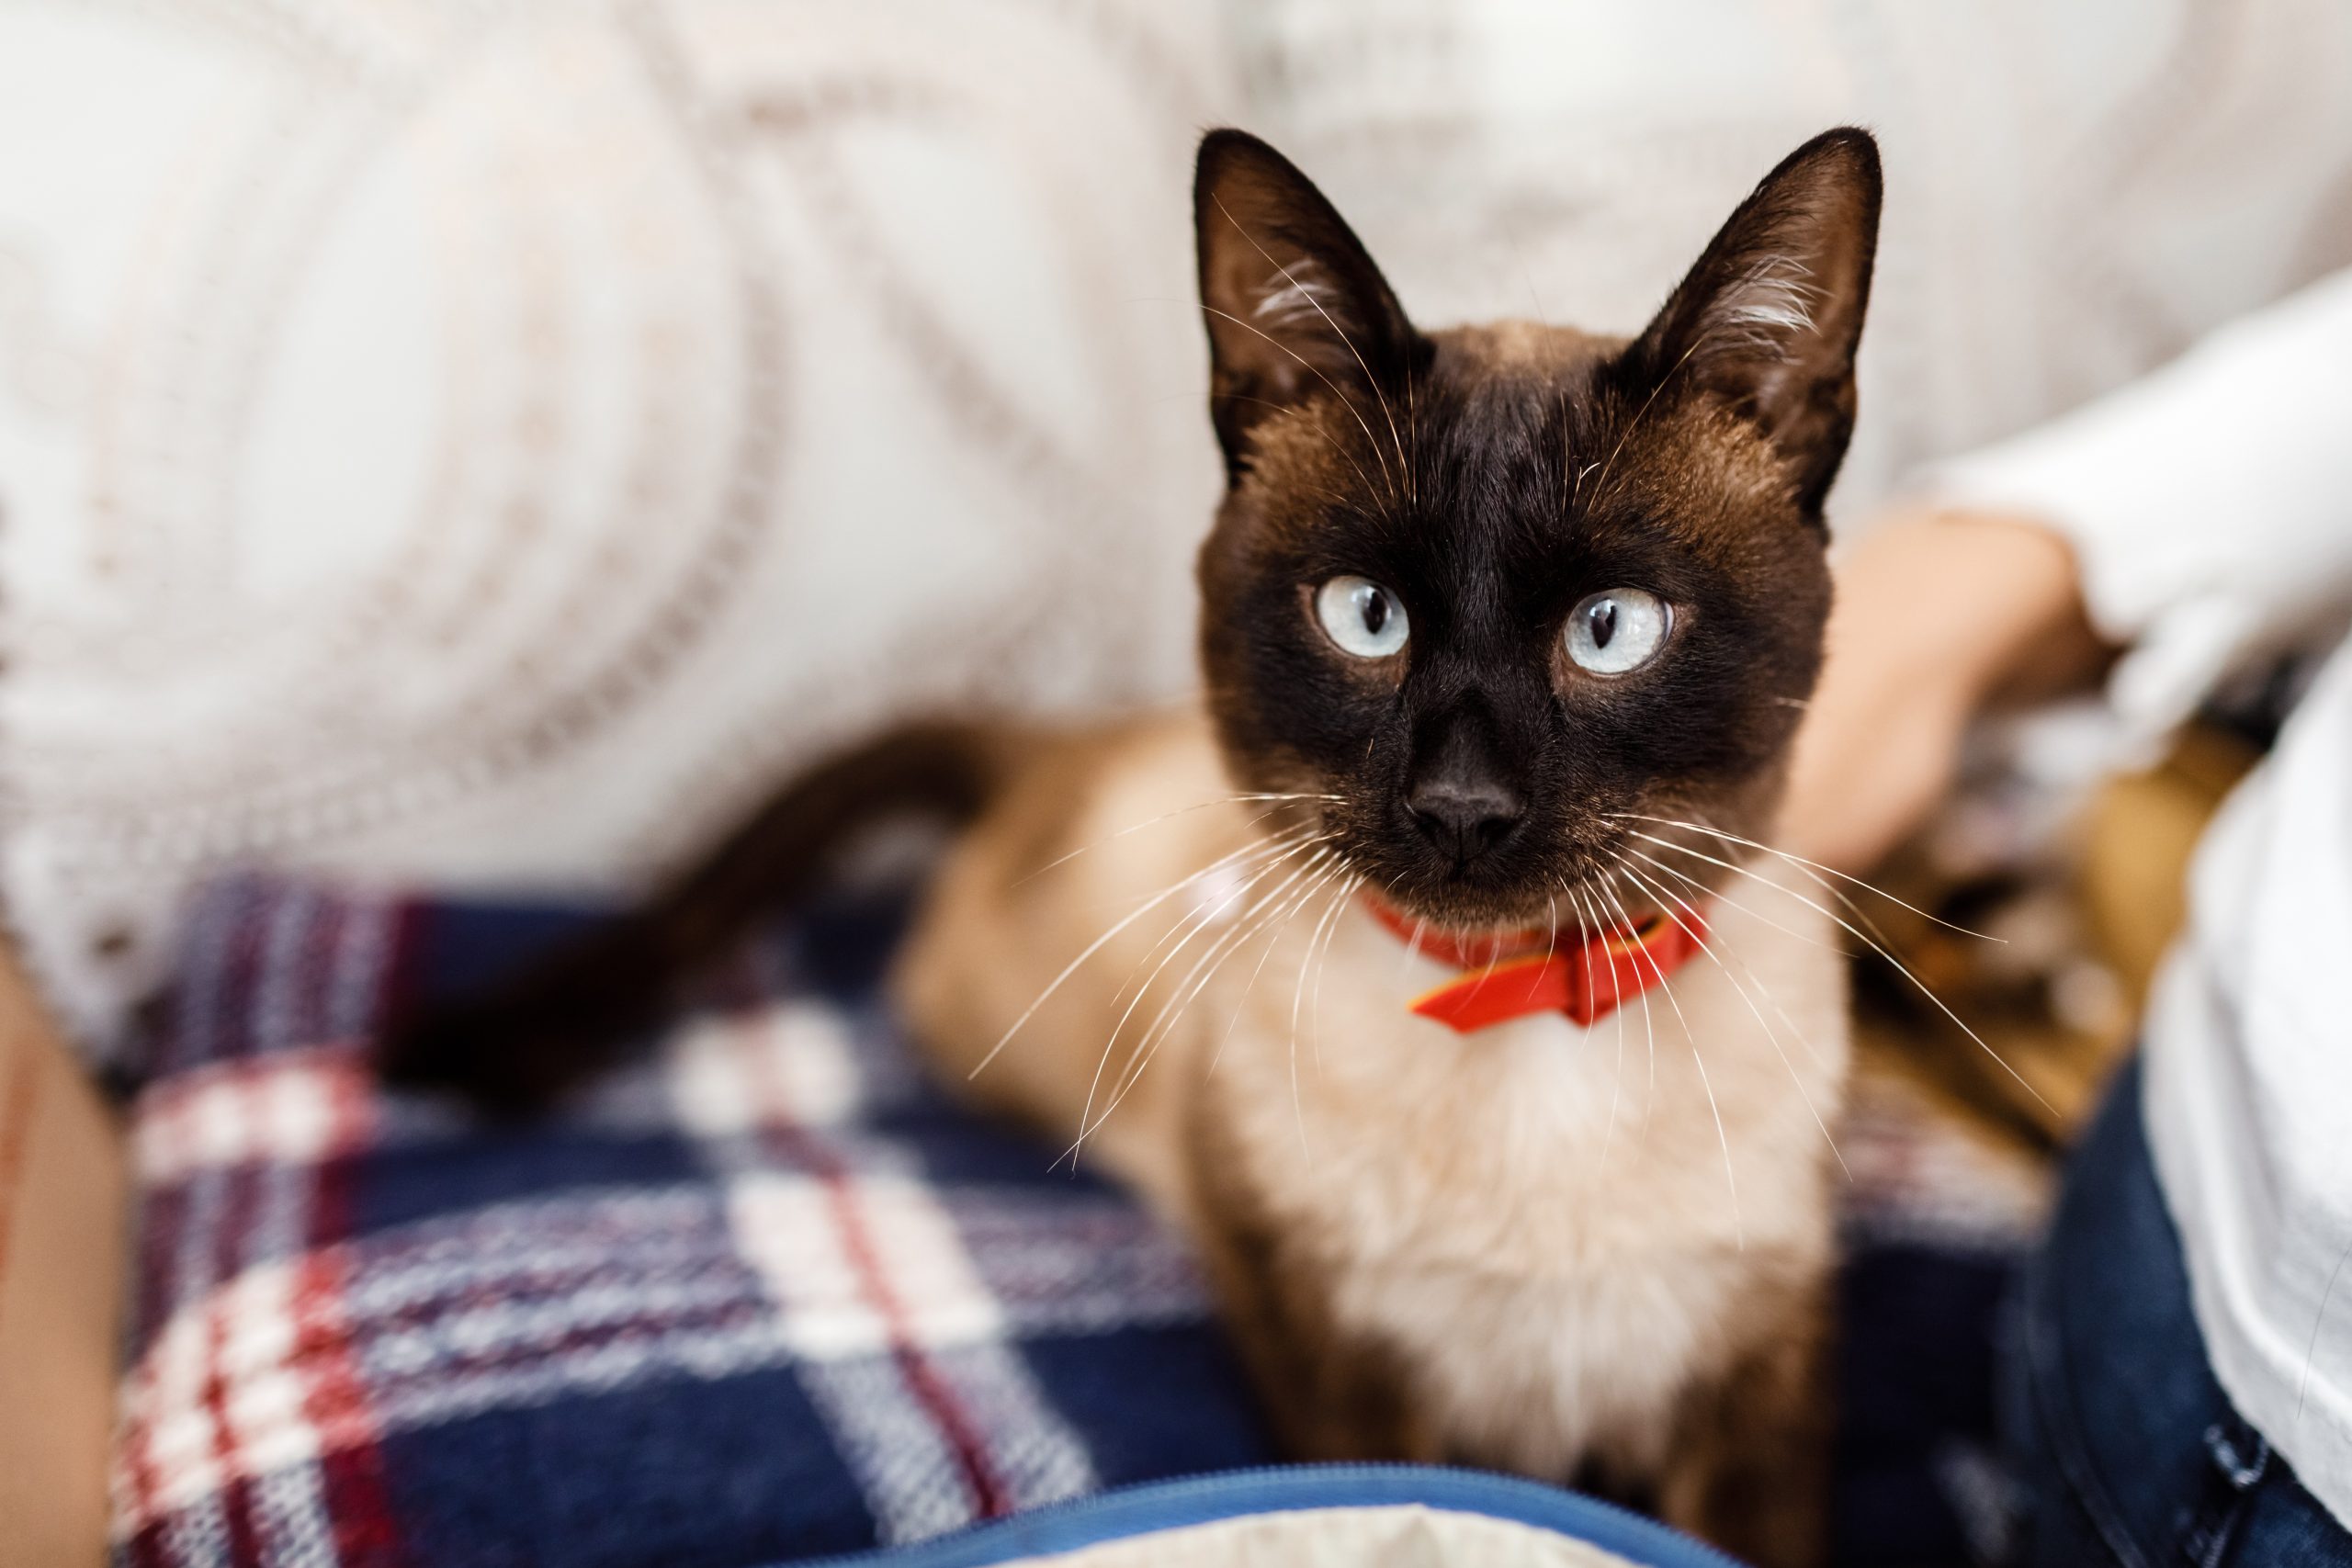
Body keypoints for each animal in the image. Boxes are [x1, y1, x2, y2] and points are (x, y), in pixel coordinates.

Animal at [390, 129, 1891, 1561]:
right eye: (1366, 616)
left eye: (1610, 630)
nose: (1461, 807)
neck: (1519, 1009)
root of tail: (1059, 743)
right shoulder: (1344, 1375)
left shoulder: (1757, 1391)